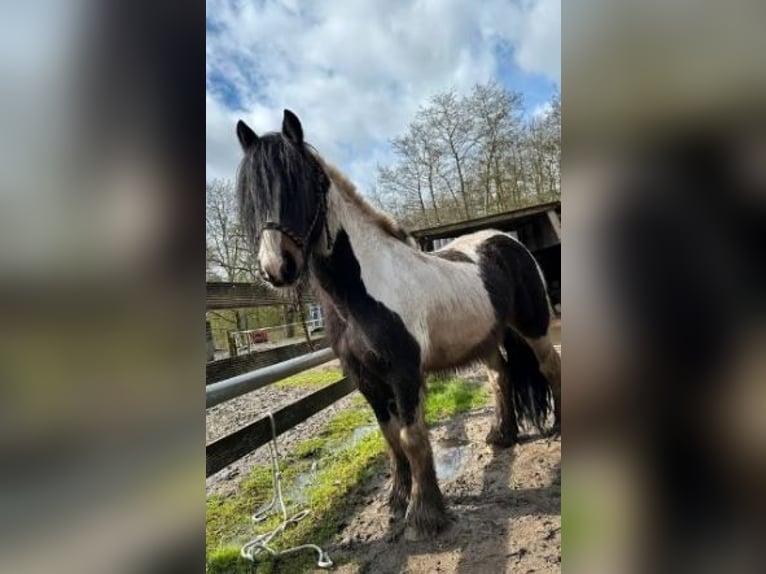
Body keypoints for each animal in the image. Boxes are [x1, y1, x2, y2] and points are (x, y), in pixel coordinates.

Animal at [236, 110, 564, 544]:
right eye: (252, 195)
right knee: (501, 377)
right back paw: (502, 435)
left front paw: (424, 514)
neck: (359, 294)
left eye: (301, 182)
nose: (277, 268)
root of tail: (505, 240)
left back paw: (557, 428)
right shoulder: (366, 379)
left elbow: (412, 437)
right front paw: (397, 498)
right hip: (488, 338)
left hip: (534, 326)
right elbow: (390, 438)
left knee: (551, 368)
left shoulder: (404, 373)